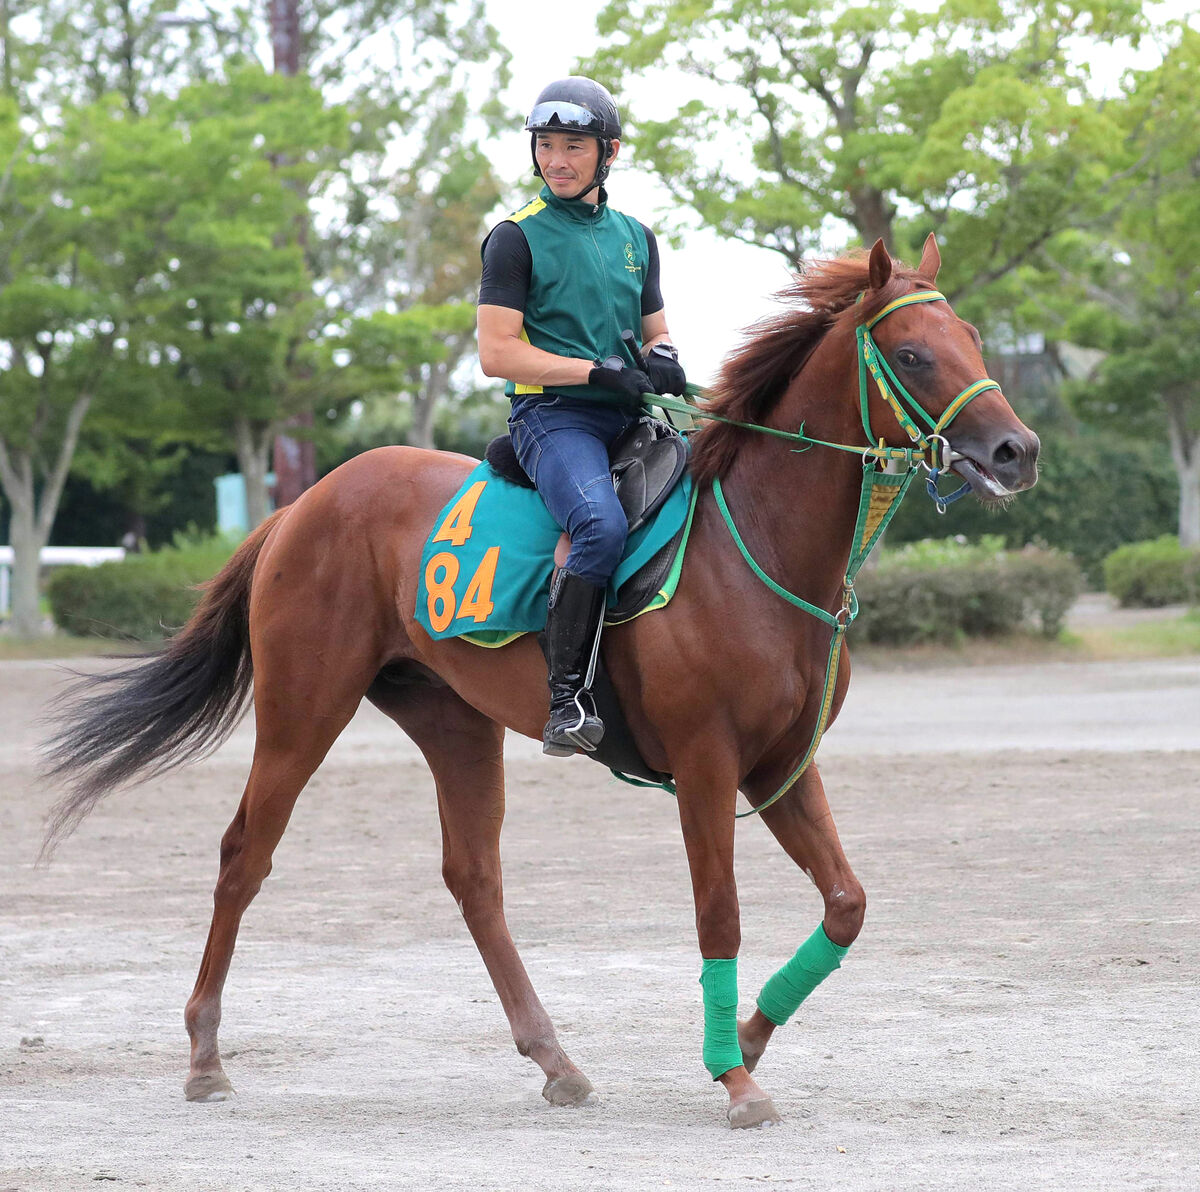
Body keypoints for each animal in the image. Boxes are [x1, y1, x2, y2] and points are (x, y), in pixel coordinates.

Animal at [43, 237, 1040, 1129]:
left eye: (972, 337)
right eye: (912, 353)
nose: (1016, 450)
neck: (754, 540)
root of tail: (305, 502)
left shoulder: (782, 766)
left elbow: (846, 906)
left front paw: (750, 1038)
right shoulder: (708, 769)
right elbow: (719, 917)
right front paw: (734, 1077)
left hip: (454, 722)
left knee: (474, 878)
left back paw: (556, 1060)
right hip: (302, 712)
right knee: (244, 854)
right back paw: (205, 1057)